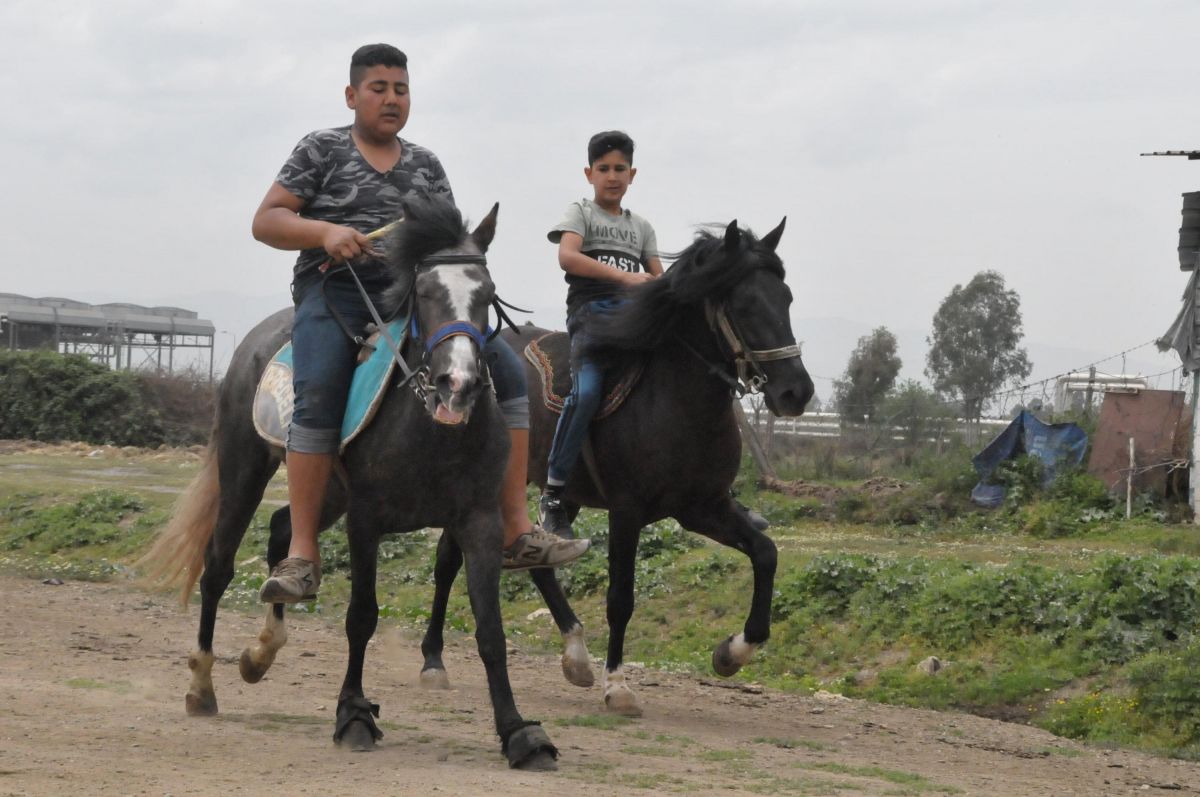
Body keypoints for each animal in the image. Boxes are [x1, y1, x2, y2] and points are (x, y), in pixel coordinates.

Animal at [139, 200, 556, 772]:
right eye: (425, 292)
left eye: (486, 293)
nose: (459, 383)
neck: (429, 424)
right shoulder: (366, 520)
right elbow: (362, 617)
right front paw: (355, 715)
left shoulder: (480, 522)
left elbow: (490, 630)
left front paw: (518, 733)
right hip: (244, 468)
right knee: (218, 565)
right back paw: (203, 685)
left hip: (325, 493)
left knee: (282, 530)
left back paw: (263, 647)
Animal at [420, 216, 816, 715]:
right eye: (745, 305)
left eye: (786, 299)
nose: (796, 392)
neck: (676, 399)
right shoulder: (627, 511)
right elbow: (620, 598)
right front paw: (618, 685)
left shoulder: (703, 507)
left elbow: (766, 553)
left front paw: (732, 652)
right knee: (448, 560)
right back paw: (434, 661)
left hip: (560, 496)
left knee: (538, 559)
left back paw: (575, 655)